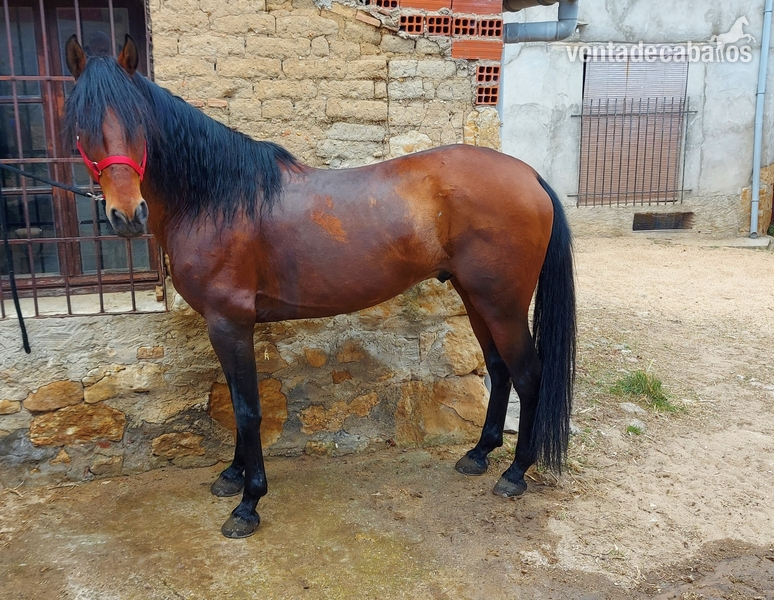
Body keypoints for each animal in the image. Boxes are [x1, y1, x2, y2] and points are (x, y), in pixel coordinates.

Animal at [64, 34, 576, 539]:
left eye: (137, 121)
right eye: (80, 125)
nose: (127, 216)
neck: (216, 199)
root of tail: (529, 175)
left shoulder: (229, 323)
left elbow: (247, 408)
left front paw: (248, 503)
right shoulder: (228, 326)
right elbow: (235, 399)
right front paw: (231, 476)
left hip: (502, 304)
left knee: (528, 375)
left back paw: (515, 473)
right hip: (476, 298)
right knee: (500, 369)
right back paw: (479, 454)